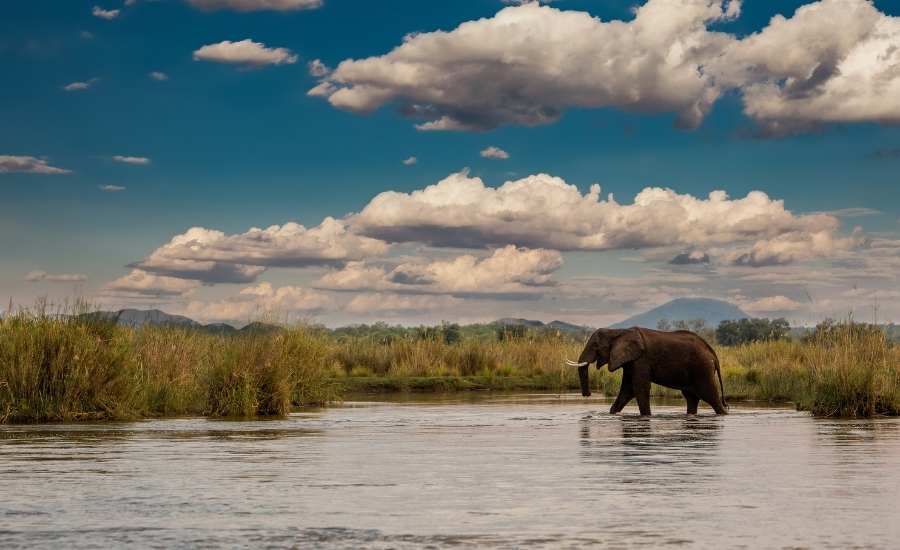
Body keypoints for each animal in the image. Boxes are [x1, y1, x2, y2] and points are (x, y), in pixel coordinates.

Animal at [568, 330, 728, 416]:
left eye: (595, 346)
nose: (587, 394)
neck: (619, 331)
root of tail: (712, 352)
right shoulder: (630, 361)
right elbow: (627, 390)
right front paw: (612, 414)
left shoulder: (641, 360)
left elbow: (639, 388)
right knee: (691, 397)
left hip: (702, 369)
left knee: (711, 396)